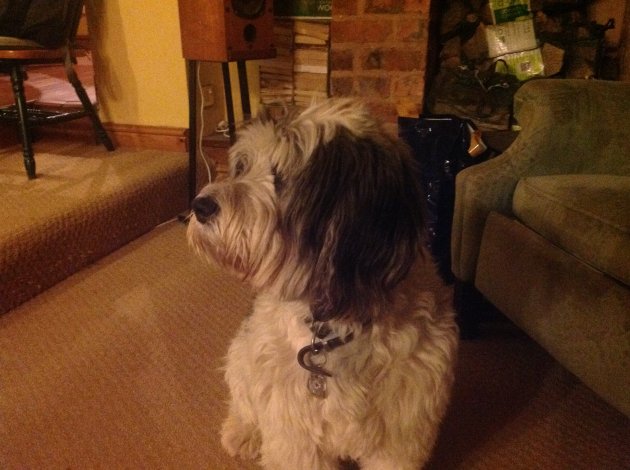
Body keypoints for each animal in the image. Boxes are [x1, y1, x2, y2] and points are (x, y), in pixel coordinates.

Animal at [187, 99, 458, 470]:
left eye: (281, 177)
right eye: (243, 166)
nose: (200, 205)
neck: (334, 322)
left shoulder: (399, 437)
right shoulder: (296, 435)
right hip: (243, 356)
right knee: (244, 403)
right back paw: (242, 432)